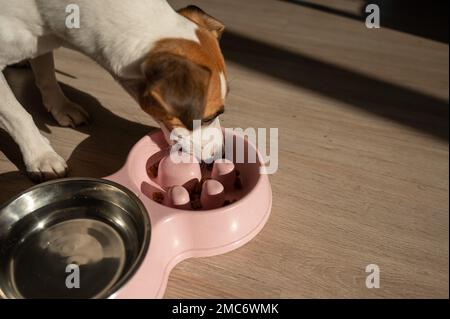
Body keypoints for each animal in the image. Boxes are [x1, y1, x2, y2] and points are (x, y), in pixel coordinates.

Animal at [0, 0, 229, 182]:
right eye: (209, 118)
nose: (219, 152)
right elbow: (17, 115)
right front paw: (40, 155)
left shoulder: (43, 42)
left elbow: (47, 75)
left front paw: (61, 106)